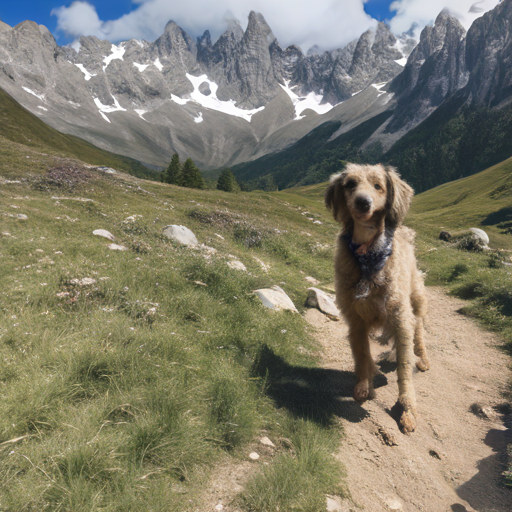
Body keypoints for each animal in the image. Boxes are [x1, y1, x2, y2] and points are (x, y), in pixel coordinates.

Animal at [326, 163, 430, 432]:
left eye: (378, 186)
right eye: (350, 184)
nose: (363, 202)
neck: (368, 257)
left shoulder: (401, 319)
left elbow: (404, 369)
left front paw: (407, 411)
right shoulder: (355, 318)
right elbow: (362, 354)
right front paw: (364, 386)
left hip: (417, 298)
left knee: (420, 329)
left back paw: (423, 358)